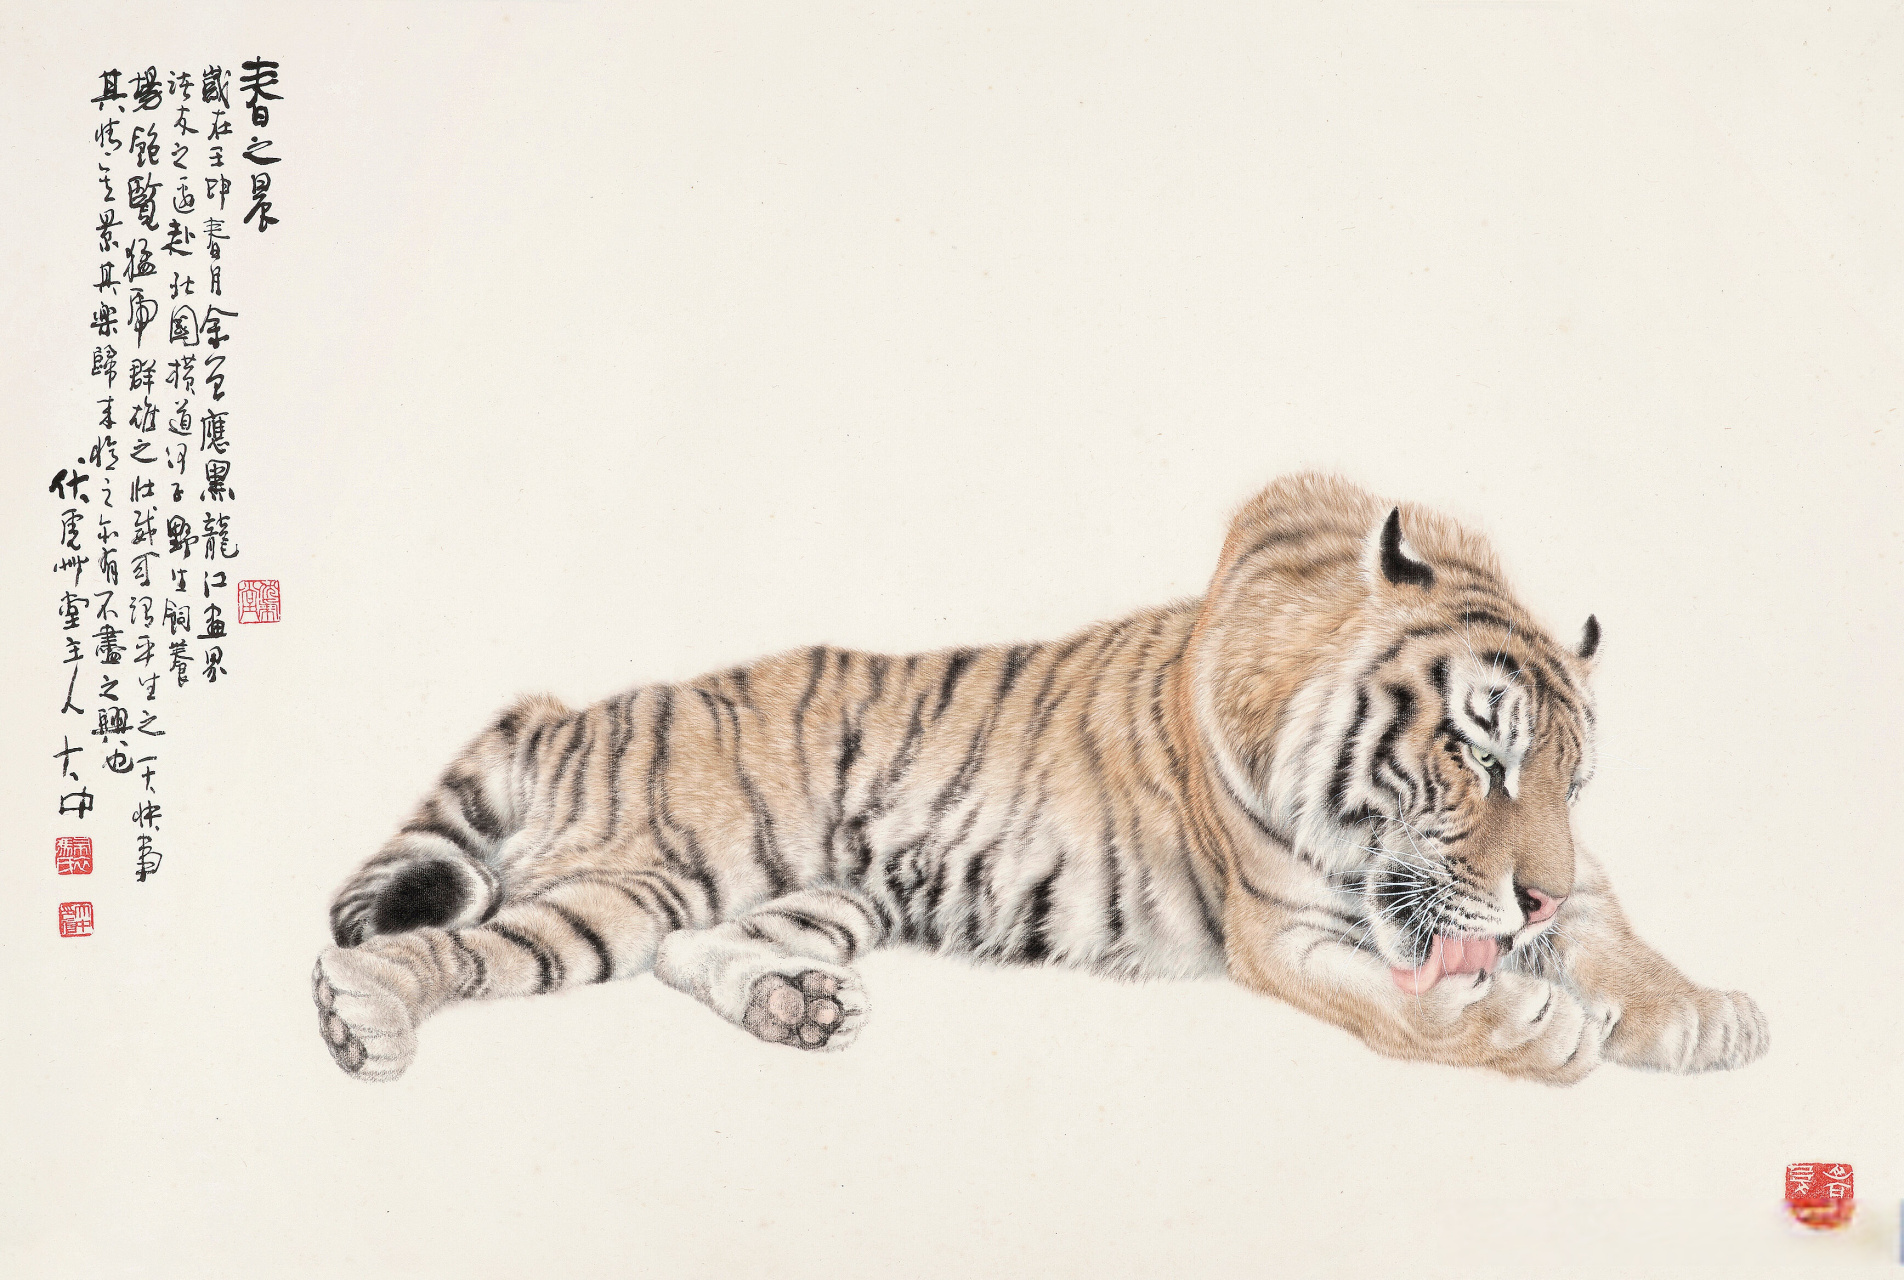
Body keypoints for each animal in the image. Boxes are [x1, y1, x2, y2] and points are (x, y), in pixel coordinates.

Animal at [313, 471, 1767, 1085]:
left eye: (1573, 782)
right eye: (1477, 748)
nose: (1530, 904)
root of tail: (577, 708)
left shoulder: (1574, 886)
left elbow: (1619, 936)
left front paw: (1702, 1014)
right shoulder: (1286, 930)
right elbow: (1401, 1010)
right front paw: (1529, 1031)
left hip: (823, 892)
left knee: (693, 951)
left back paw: (797, 1007)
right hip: (633, 875)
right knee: (461, 946)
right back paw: (362, 1019)